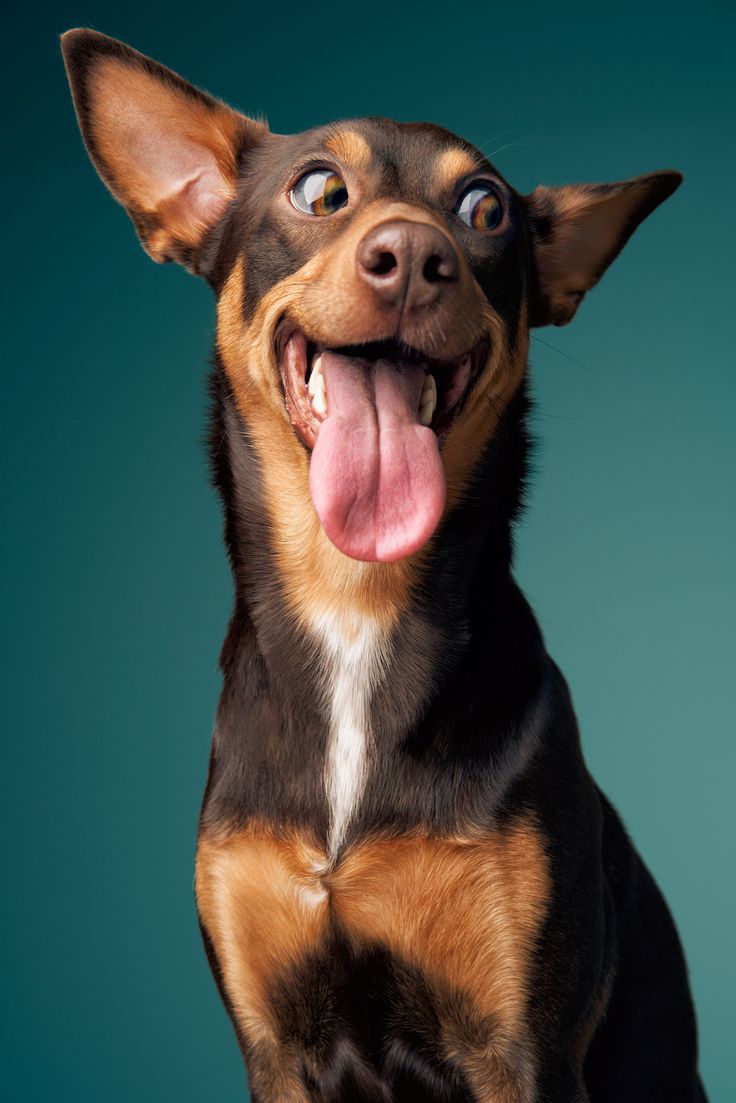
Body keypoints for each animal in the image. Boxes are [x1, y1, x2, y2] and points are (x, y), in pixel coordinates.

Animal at [63, 27, 706, 1103]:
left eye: (485, 209)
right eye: (320, 191)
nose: (412, 256)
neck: (354, 606)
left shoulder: (523, 1048)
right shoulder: (274, 1046)